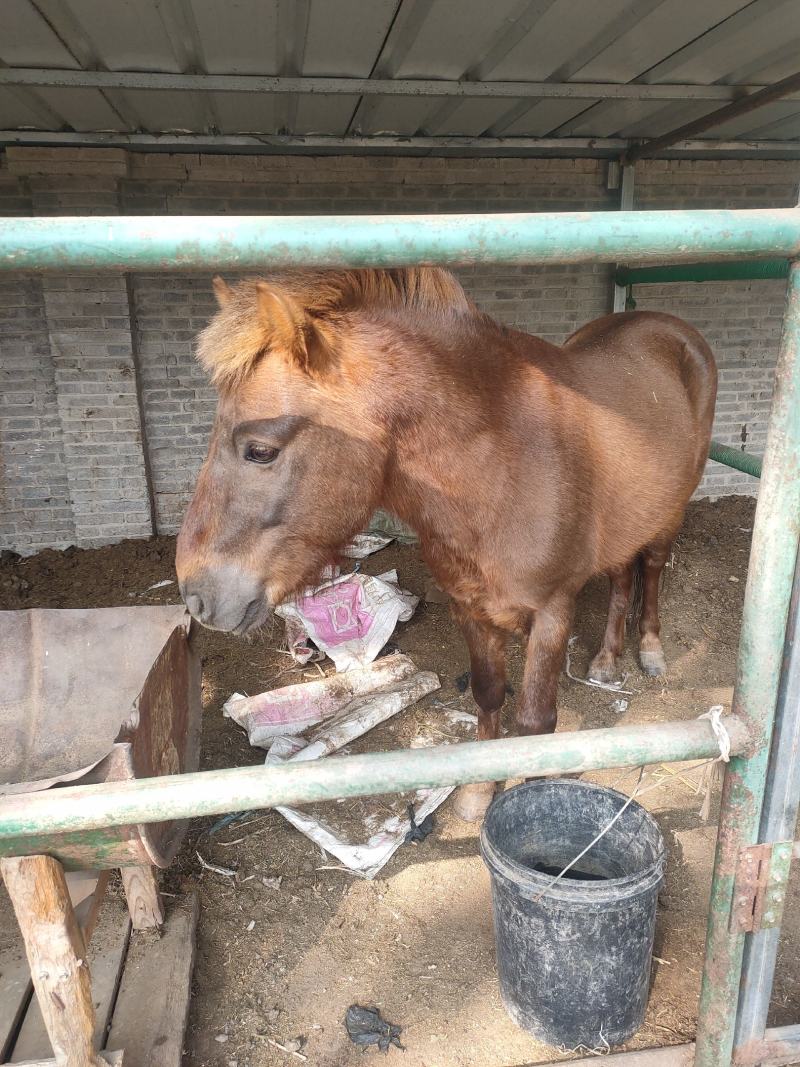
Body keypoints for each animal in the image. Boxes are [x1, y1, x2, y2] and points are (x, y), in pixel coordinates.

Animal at [176, 267, 717, 821]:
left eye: (260, 450)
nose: (197, 596)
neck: (504, 464)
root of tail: (667, 325)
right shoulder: (470, 607)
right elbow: (489, 694)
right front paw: (479, 792)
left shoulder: (552, 612)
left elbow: (537, 722)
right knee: (621, 574)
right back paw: (607, 660)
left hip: (670, 511)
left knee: (651, 568)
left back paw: (649, 650)